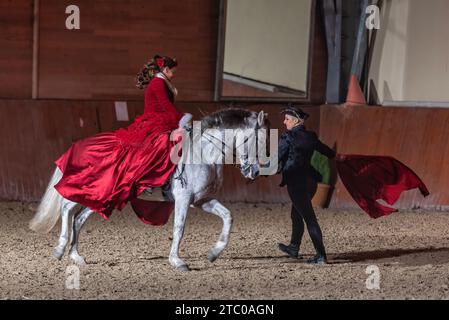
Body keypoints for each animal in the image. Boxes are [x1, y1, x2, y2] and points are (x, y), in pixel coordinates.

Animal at [31, 109, 272, 272]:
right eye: (257, 141)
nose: (254, 172)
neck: (205, 152)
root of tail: (79, 144)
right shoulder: (184, 199)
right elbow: (179, 228)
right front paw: (177, 261)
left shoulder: (202, 200)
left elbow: (228, 217)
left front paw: (214, 253)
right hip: (94, 190)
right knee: (66, 207)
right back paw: (60, 249)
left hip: (101, 197)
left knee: (78, 218)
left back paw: (76, 256)